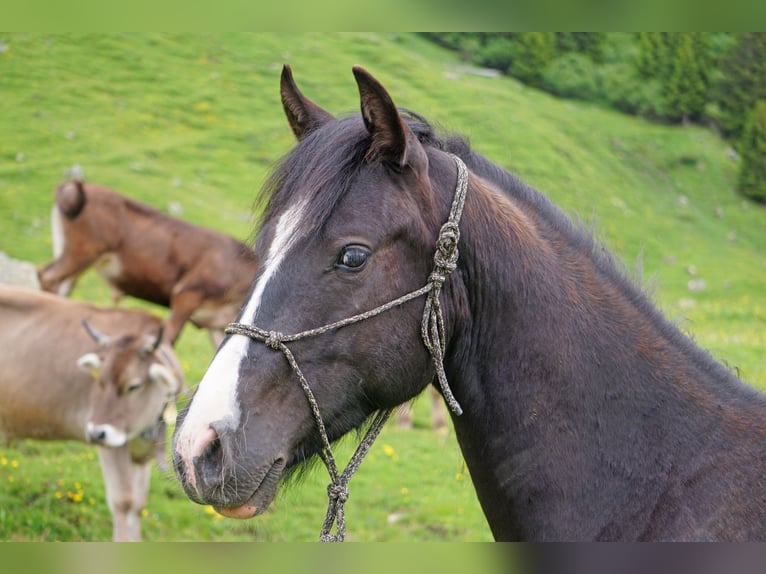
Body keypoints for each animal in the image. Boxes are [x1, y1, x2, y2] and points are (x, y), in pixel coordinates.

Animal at [0, 288, 185, 544]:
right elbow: (123, 502)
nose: (97, 433)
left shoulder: (141, 452)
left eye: (134, 386)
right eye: (99, 381)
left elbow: (138, 504)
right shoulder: (112, 444)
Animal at [37, 181, 260, 346]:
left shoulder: (216, 324)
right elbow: (168, 338)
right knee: (48, 276)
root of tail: (72, 184)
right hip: (82, 252)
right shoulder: (186, 294)